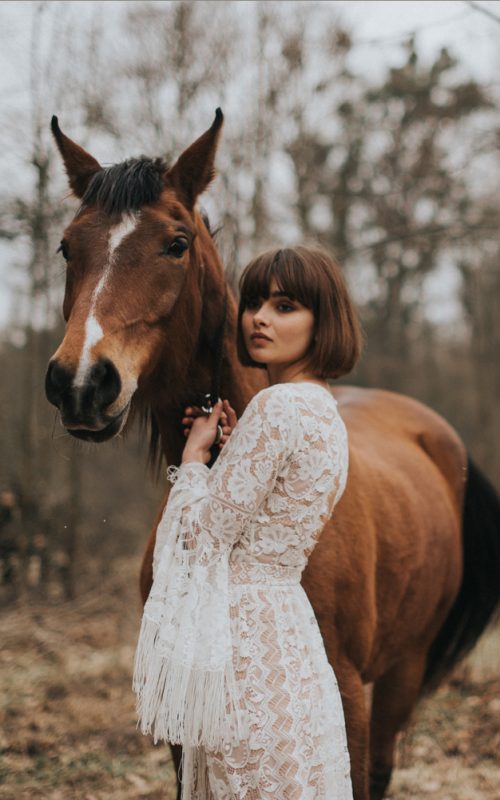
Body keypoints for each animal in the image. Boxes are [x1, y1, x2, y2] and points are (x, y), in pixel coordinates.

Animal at [45, 109, 498, 796]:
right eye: (69, 246)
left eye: (176, 244)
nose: (80, 383)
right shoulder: (183, 721)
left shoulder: (349, 698)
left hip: (401, 673)